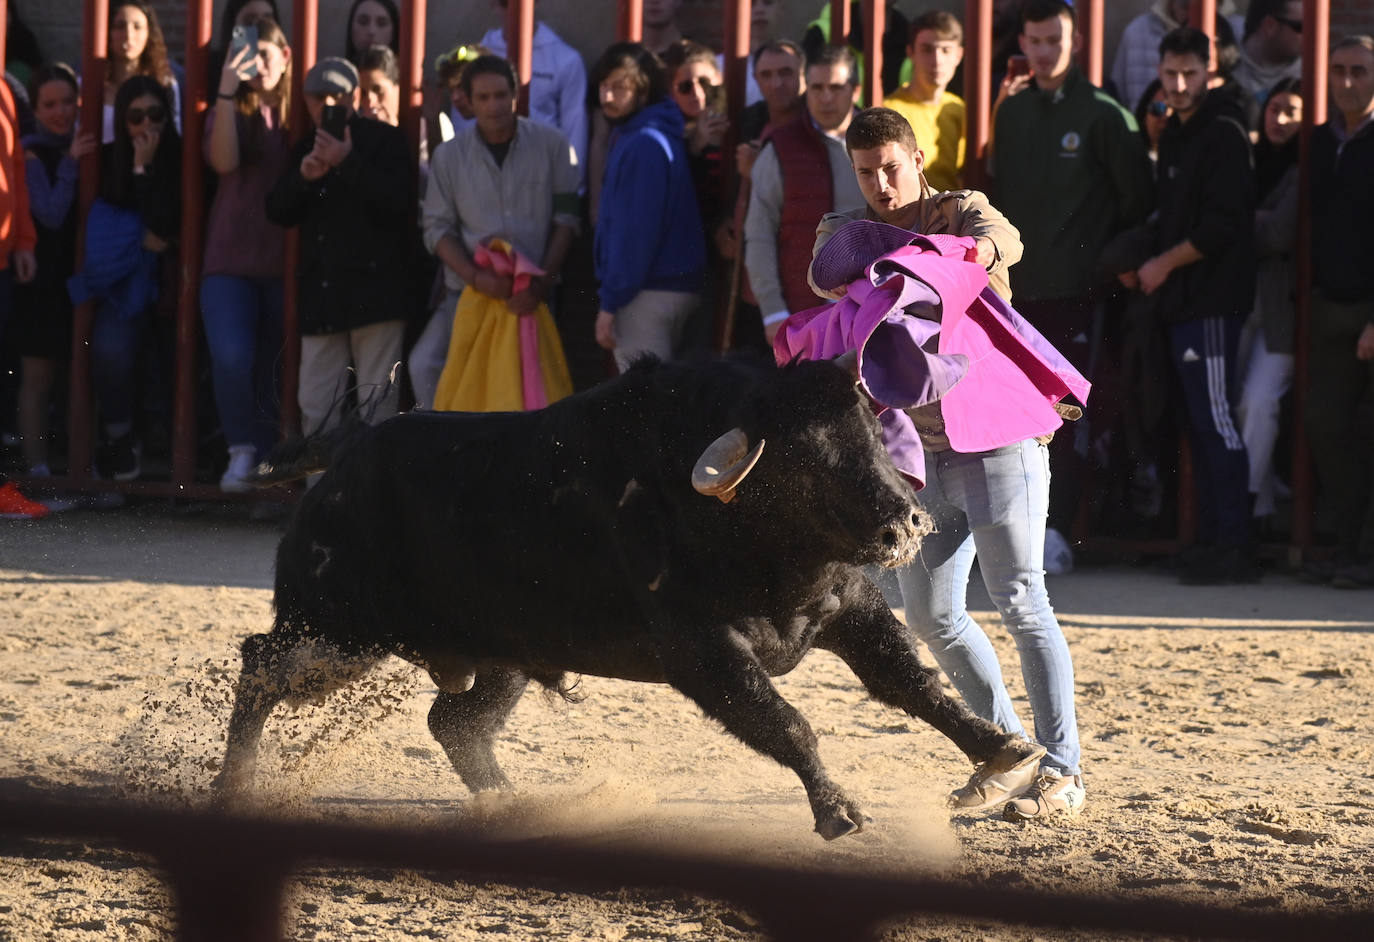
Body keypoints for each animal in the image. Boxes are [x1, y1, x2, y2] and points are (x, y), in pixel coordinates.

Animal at [214, 357, 1033, 840]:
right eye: (804, 452)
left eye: (867, 424)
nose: (908, 522)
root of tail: (342, 460)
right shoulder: (703, 651)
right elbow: (787, 723)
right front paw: (839, 813)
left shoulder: (850, 608)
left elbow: (913, 683)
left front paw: (1004, 749)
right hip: (337, 632)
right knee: (259, 667)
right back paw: (233, 786)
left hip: (501, 654)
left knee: (453, 722)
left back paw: (517, 805)